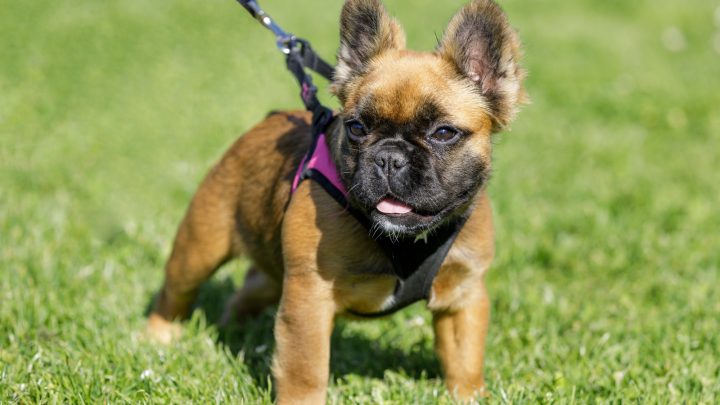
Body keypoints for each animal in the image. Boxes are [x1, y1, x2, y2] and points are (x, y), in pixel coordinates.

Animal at [148, 0, 528, 400]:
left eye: (443, 133)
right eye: (357, 128)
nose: (388, 157)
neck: (403, 239)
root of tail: (266, 123)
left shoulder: (463, 296)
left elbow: (464, 359)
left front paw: (469, 396)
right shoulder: (308, 299)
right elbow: (305, 369)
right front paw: (300, 402)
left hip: (273, 270)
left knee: (249, 290)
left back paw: (234, 329)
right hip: (200, 246)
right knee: (175, 292)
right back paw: (159, 337)